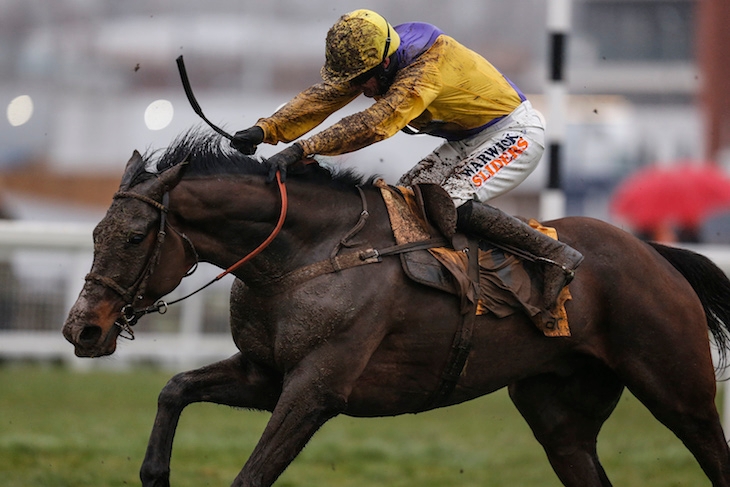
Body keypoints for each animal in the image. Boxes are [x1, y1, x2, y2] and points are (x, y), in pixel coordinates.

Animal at [62, 131, 730, 487]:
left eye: (133, 237)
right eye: (95, 233)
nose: (81, 329)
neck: (309, 250)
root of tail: (653, 253)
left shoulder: (316, 388)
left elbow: (252, 473)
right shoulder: (266, 373)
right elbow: (174, 389)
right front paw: (155, 471)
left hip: (680, 390)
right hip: (560, 416)